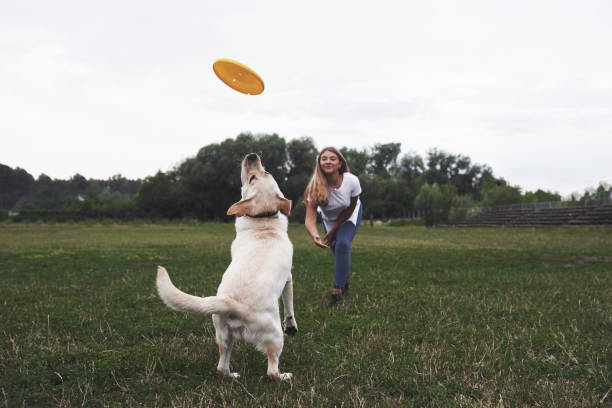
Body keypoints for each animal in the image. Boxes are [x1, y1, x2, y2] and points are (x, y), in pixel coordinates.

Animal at [154, 152, 296, 380]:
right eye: (253, 177)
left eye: (264, 172)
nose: (252, 155)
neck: (262, 220)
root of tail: (232, 304)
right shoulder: (289, 279)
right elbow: (290, 308)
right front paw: (292, 327)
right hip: (274, 337)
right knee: (271, 371)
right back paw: (285, 376)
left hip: (223, 336)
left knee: (221, 366)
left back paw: (232, 375)